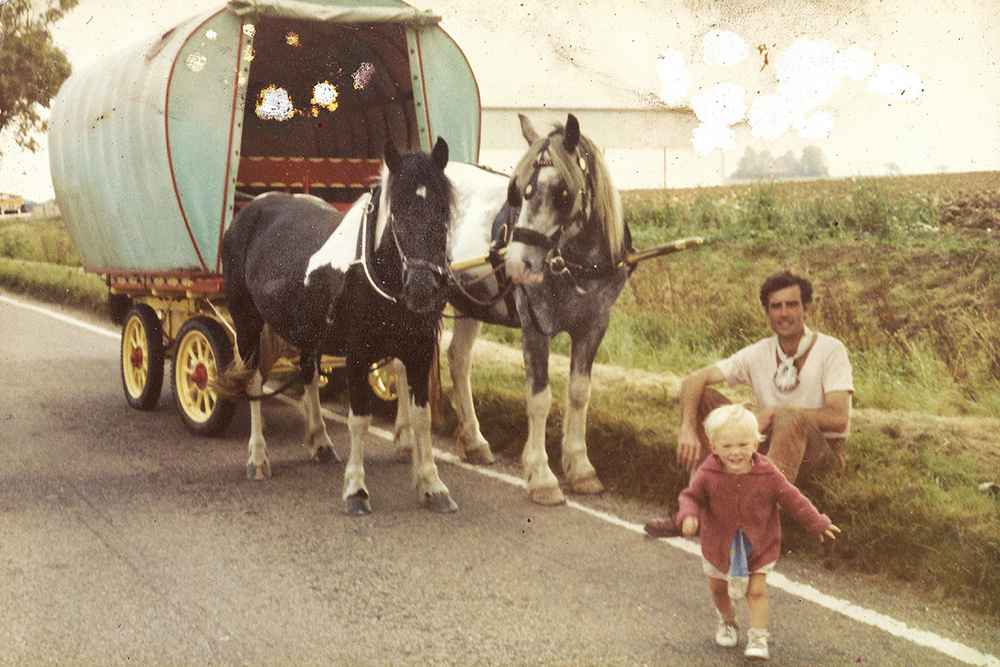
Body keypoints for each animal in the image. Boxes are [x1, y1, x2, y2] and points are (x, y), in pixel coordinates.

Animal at [217, 140, 458, 516]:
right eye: (397, 213)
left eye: (443, 210)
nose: (422, 289)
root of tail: (249, 210)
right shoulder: (359, 353)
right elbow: (359, 419)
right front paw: (356, 489)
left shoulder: (418, 351)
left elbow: (422, 417)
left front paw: (432, 485)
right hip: (247, 323)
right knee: (254, 381)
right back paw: (257, 458)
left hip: (306, 332)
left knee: (308, 374)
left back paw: (320, 442)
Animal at [392, 115, 632, 504]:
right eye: (518, 191)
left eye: (563, 193)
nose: (517, 264)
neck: (577, 263)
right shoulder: (535, 325)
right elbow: (539, 398)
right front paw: (541, 475)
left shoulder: (594, 325)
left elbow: (579, 394)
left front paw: (580, 467)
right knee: (403, 364)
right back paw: (404, 438)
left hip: (470, 302)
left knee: (459, 360)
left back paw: (474, 440)